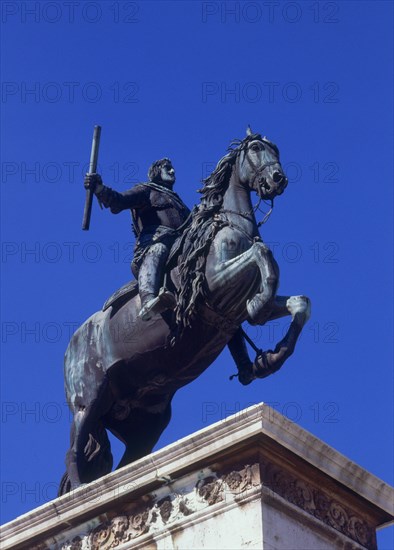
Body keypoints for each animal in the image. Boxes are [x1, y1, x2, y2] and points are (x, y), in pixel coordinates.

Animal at [58, 133, 310, 496]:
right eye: (256, 149)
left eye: (274, 149)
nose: (278, 179)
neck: (229, 225)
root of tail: (73, 344)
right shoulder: (215, 283)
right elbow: (262, 255)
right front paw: (259, 304)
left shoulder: (232, 313)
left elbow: (299, 303)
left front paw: (272, 357)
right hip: (88, 402)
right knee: (74, 450)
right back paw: (82, 491)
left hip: (145, 421)